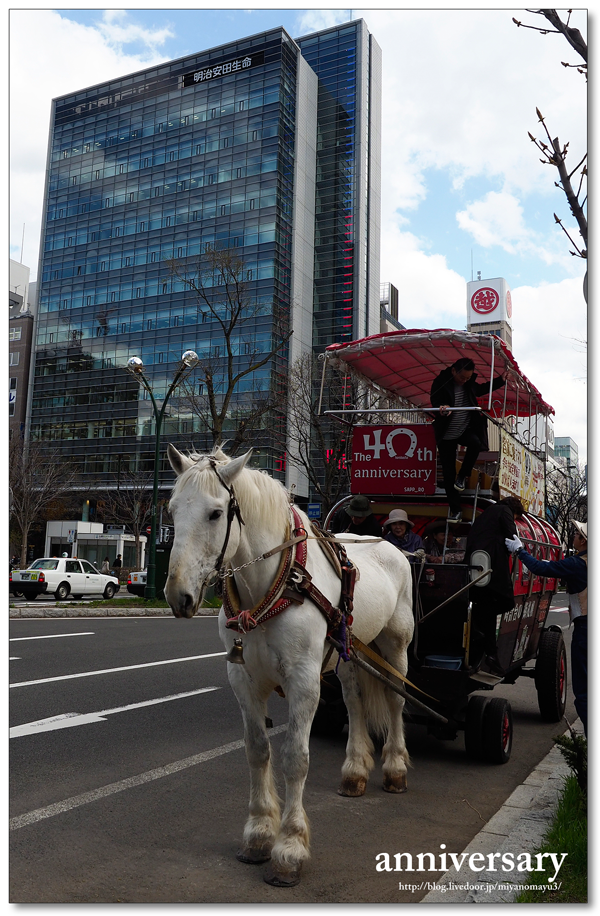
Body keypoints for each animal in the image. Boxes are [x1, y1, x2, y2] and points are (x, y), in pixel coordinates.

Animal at [166, 448, 414, 884]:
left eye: (215, 513)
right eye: (172, 509)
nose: (177, 594)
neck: (274, 584)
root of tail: (391, 544)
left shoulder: (304, 680)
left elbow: (295, 757)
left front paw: (290, 848)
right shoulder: (243, 678)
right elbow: (257, 750)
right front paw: (259, 833)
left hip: (395, 642)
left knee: (395, 698)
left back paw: (395, 768)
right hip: (349, 649)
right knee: (355, 701)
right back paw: (355, 770)